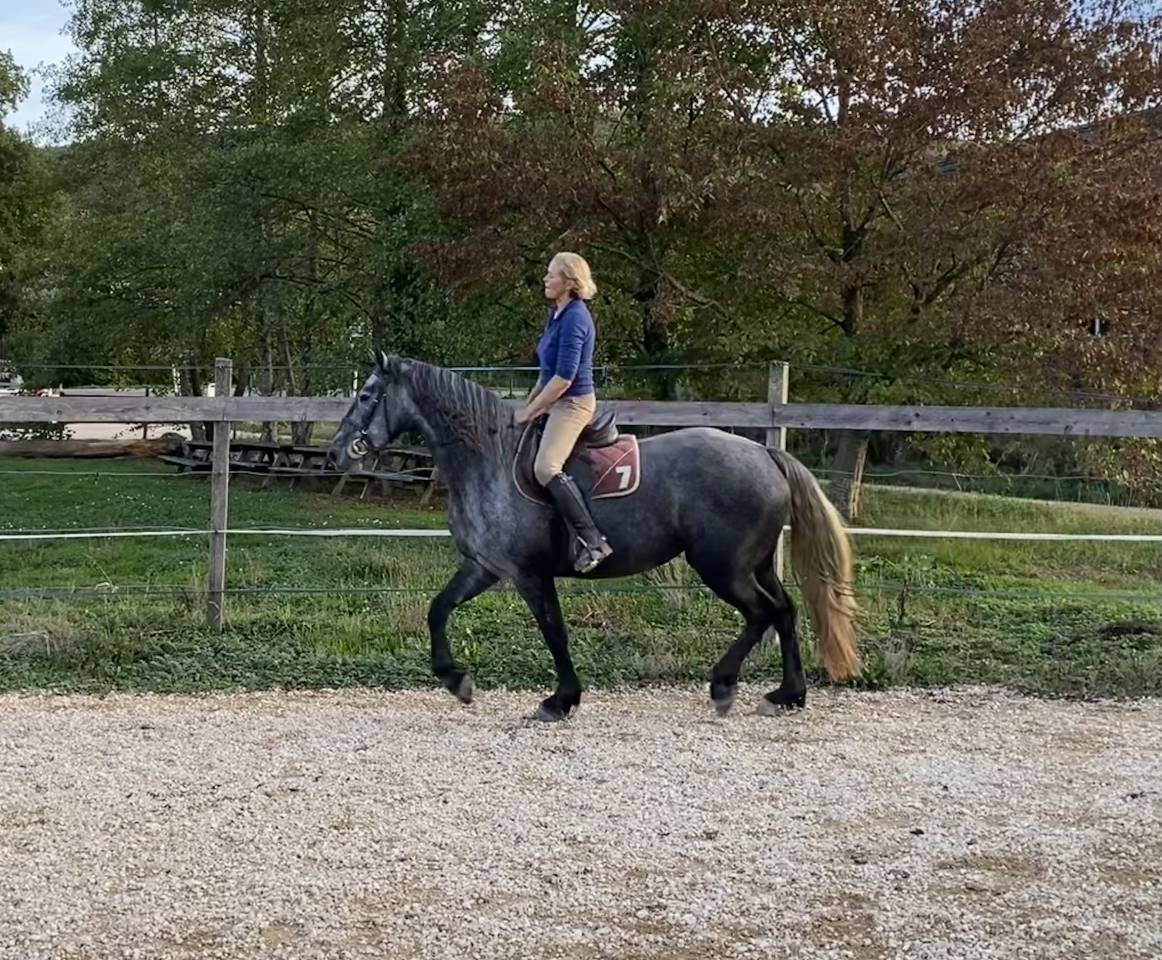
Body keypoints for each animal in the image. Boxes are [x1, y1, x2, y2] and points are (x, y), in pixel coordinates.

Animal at [326, 352, 859, 722]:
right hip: (756, 563)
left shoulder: (529, 574)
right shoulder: (484, 567)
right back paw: (787, 696)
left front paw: (560, 701)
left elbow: (554, 632)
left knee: (762, 614)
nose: (336, 453)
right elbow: (437, 610)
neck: (488, 459)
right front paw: (456, 680)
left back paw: (725, 686)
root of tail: (765, 454)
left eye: (367, 395)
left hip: (723, 568)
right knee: (785, 612)